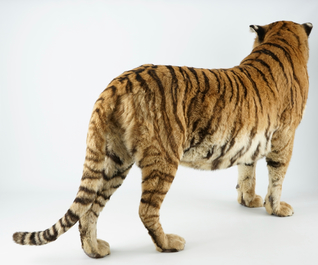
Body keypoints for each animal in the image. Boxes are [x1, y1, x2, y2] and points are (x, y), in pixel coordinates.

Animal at [13, 21, 314, 258]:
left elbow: (247, 170)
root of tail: (117, 84)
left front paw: (249, 201)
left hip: (114, 159)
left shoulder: (251, 139)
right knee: (145, 209)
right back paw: (168, 244)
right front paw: (276, 208)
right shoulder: (285, 136)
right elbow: (277, 176)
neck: (279, 41)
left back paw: (95, 250)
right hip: (163, 158)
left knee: (89, 208)